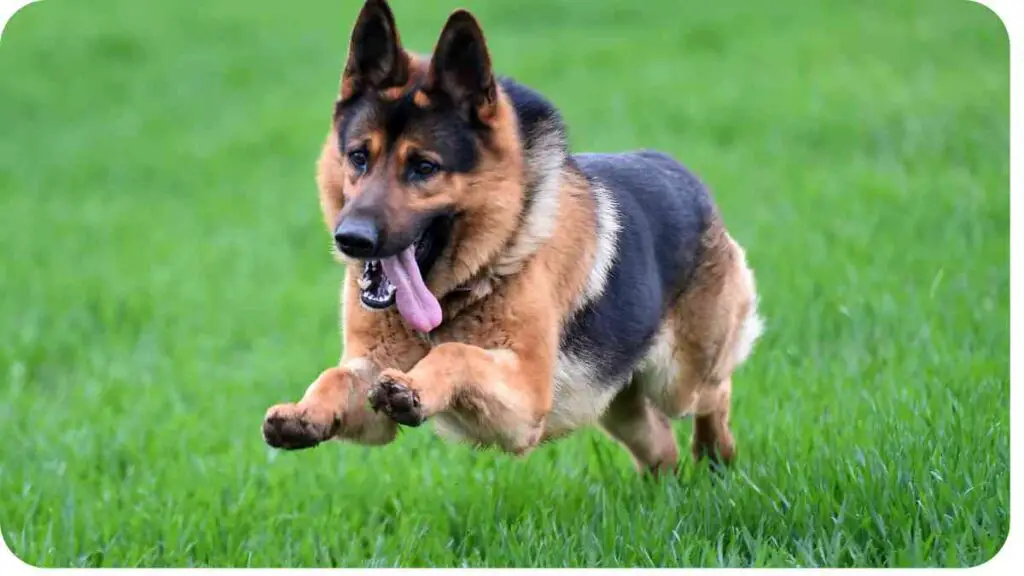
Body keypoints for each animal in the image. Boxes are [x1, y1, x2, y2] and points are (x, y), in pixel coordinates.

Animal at [264, 2, 761, 473]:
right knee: (661, 448)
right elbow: (336, 376)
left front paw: (417, 385)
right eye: (359, 158)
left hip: (677, 380)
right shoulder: (371, 389)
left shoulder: (523, 400)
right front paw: (304, 413)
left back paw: (716, 457)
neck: (457, 290)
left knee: (714, 393)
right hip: (615, 403)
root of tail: (685, 175)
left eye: (424, 167)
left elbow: (457, 354)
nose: (351, 239)